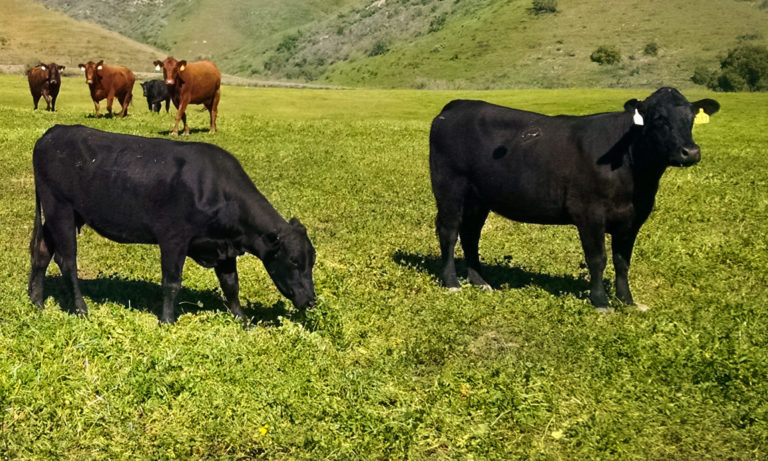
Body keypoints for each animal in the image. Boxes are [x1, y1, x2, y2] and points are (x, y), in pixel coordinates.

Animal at [29, 124, 318, 322]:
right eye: (294, 261)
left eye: (312, 261)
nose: (311, 301)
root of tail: (53, 132)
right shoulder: (173, 238)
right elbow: (171, 282)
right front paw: (167, 320)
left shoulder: (224, 248)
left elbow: (231, 286)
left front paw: (242, 320)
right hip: (60, 209)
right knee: (67, 260)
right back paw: (80, 309)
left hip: (58, 215)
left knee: (41, 251)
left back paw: (36, 302)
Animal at [432, 87, 720, 310]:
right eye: (659, 118)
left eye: (690, 117)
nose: (690, 152)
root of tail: (458, 104)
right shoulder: (589, 213)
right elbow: (598, 259)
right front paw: (601, 302)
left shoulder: (633, 218)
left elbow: (622, 261)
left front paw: (627, 301)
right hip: (449, 187)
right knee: (449, 231)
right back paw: (452, 283)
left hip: (478, 198)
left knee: (471, 233)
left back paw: (480, 282)